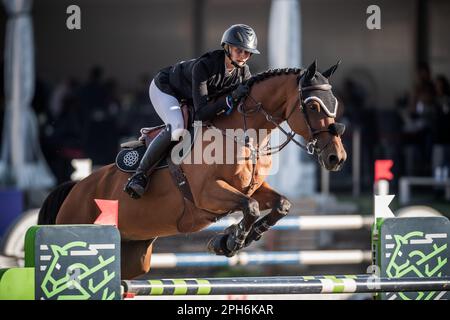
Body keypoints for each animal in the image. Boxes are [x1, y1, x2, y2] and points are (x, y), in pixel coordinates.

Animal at [38, 60, 348, 280]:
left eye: (335, 104)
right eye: (312, 105)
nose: (337, 157)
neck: (241, 135)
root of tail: (75, 188)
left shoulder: (254, 187)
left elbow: (281, 205)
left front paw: (241, 237)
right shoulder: (207, 194)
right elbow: (249, 207)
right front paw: (229, 240)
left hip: (134, 256)